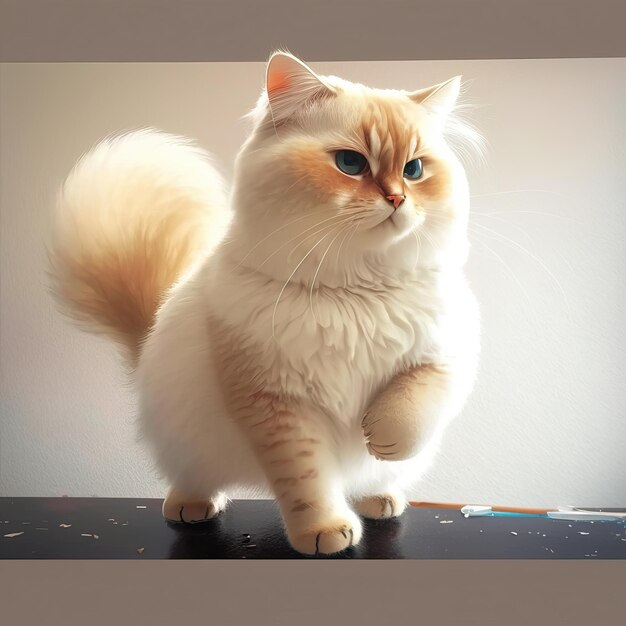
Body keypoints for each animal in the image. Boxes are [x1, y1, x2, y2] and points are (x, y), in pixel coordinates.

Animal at [50, 51, 478, 552]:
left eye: (414, 170)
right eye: (350, 163)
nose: (396, 198)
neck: (355, 291)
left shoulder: (446, 355)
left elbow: (413, 408)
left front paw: (382, 439)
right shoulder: (277, 408)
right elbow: (310, 484)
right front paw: (325, 534)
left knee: (375, 479)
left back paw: (381, 498)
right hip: (189, 444)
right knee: (192, 480)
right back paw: (190, 506)